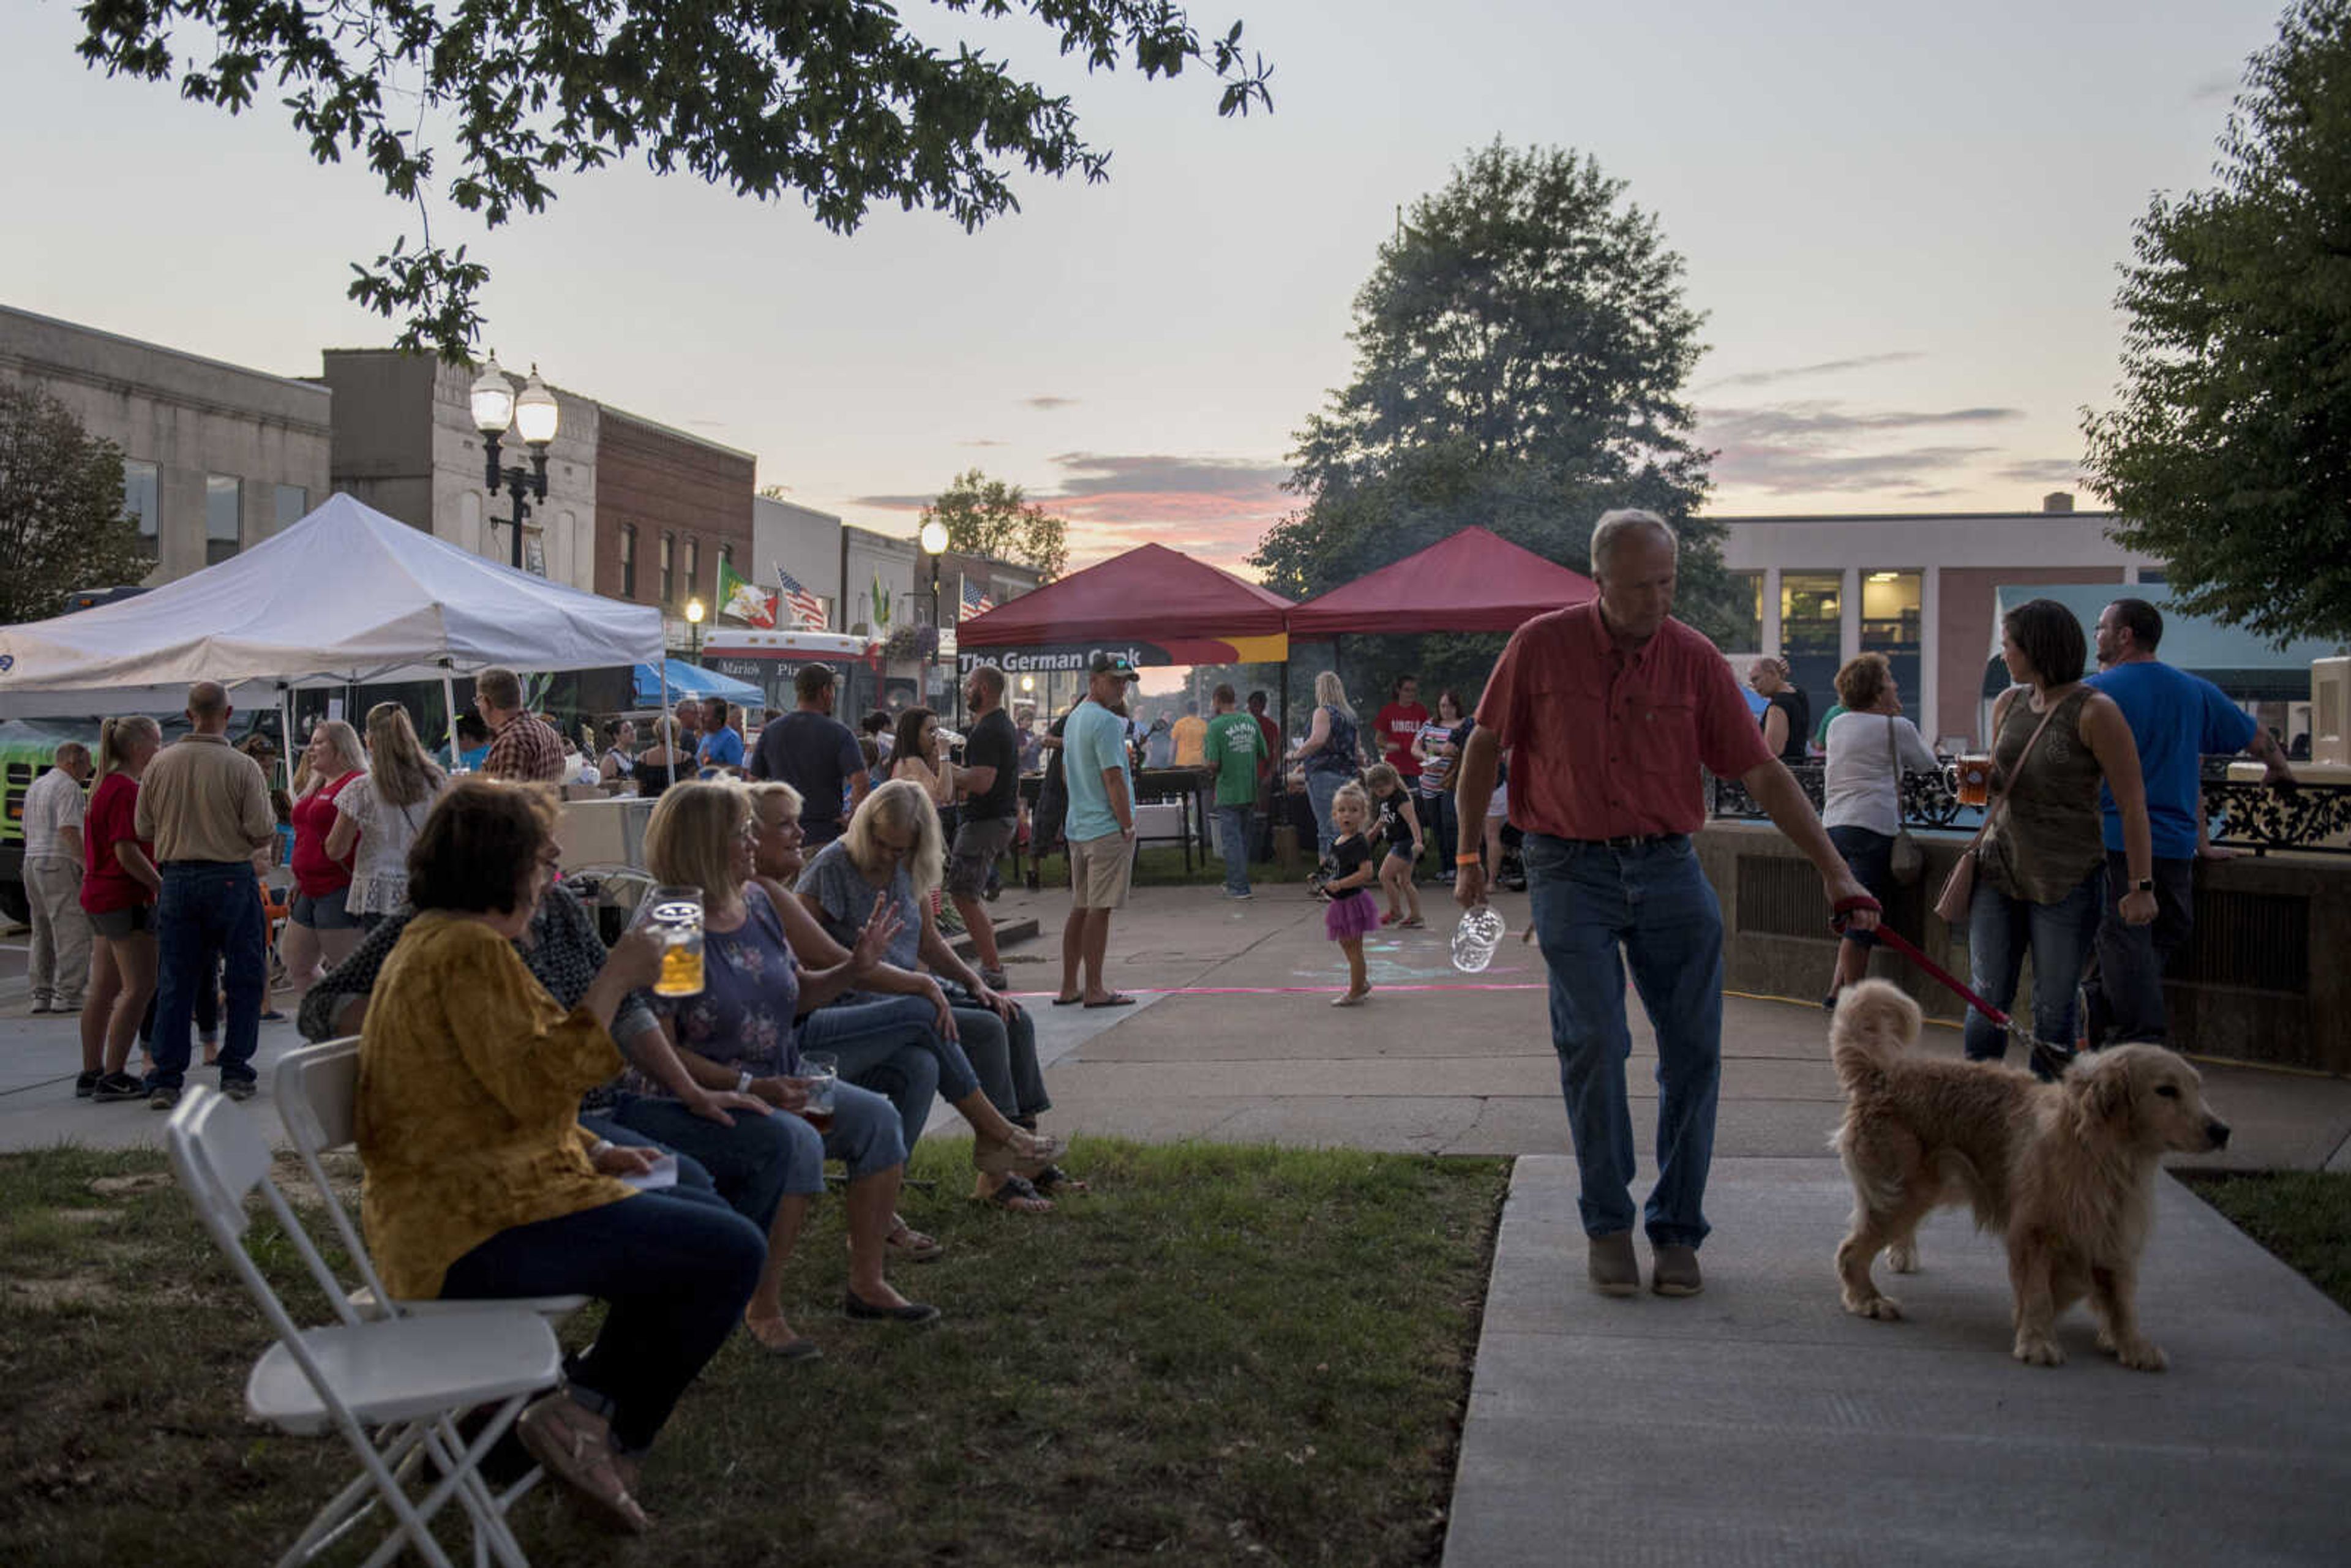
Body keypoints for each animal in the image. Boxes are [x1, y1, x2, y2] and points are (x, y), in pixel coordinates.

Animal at [1824, 982, 2229, 1373]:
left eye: (2197, 1088)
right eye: (2166, 1091)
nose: (2222, 1131)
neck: (2098, 1152)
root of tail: (1882, 1075)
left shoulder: (2112, 1235)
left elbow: (2120, 1299)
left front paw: (2130, 1343)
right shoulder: (2034, 1232)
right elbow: (2037, 1294)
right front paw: (2037, 1340)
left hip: (1921, 1188)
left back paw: (1901, 1254)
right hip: (1903, 1192)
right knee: (1851, 1253)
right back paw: (1868, 1300)